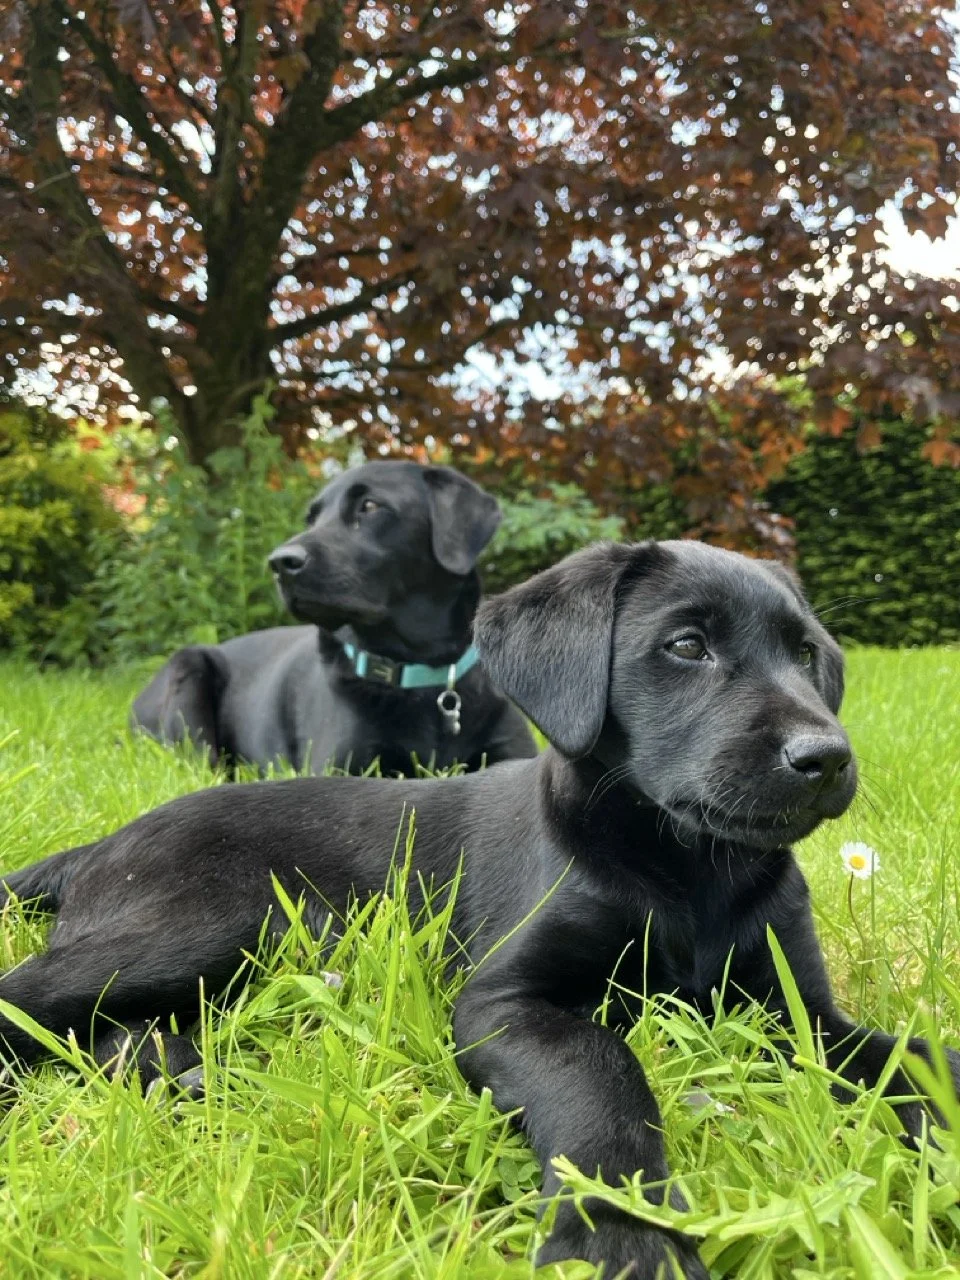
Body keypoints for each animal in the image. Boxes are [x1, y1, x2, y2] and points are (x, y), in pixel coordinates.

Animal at [3, 540, 958, 1278]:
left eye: (808, 656)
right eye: (687, 645)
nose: (826, 758)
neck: (687, 871)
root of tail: (101, 844)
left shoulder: (799, 1012)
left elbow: (909, 1057)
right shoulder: (507, 1000)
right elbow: (601, 1069)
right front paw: (619, 1229)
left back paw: (181, 1069)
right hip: (214, 920)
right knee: (31, 1000)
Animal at [131, 461, 536, 775]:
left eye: (369, 505)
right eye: (312, 518)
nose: (280, 562)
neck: (423, 677)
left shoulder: (511, 750)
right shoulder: (342, 764)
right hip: (189, 672)